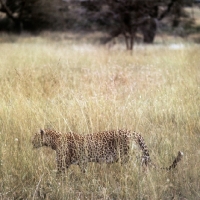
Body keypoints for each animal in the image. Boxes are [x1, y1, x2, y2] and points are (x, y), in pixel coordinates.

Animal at [32, 130, 184, 173]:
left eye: (34, 137)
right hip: (138, 158)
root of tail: (134, 132)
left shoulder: (62, 164)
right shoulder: (81, 162)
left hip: (129, 158)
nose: (30, 143)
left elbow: (56, 176)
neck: (54, 139)